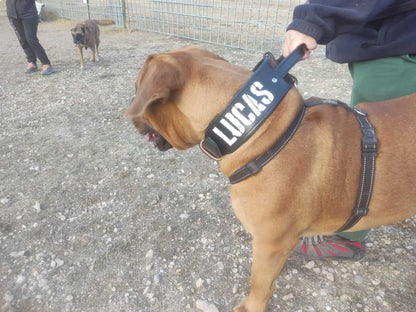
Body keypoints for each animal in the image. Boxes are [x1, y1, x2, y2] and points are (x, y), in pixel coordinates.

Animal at [125, 46, 416, 312]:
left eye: (137, 86)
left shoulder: (271, 244)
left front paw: (251, 305)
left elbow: (259, 283)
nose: (129, 108)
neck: (259, 132)